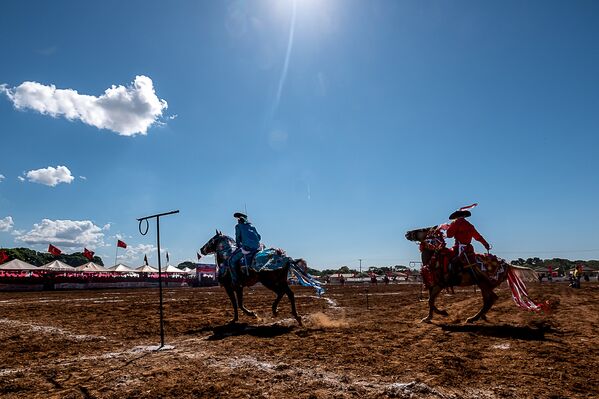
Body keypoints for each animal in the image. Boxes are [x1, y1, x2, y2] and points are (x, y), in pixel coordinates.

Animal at [406, 227, 540, 324]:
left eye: (422, 229)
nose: (407, 233)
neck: (434, 258)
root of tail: (506, 264)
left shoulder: (439, 285)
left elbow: (430, 301)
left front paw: (443, 313)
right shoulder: (431, 285)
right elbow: (431, 301)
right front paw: (428, 317)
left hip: (484, 284)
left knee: (490, 299)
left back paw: (473, 318)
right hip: (485, 286)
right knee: (489, 300)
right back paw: (480, 316)